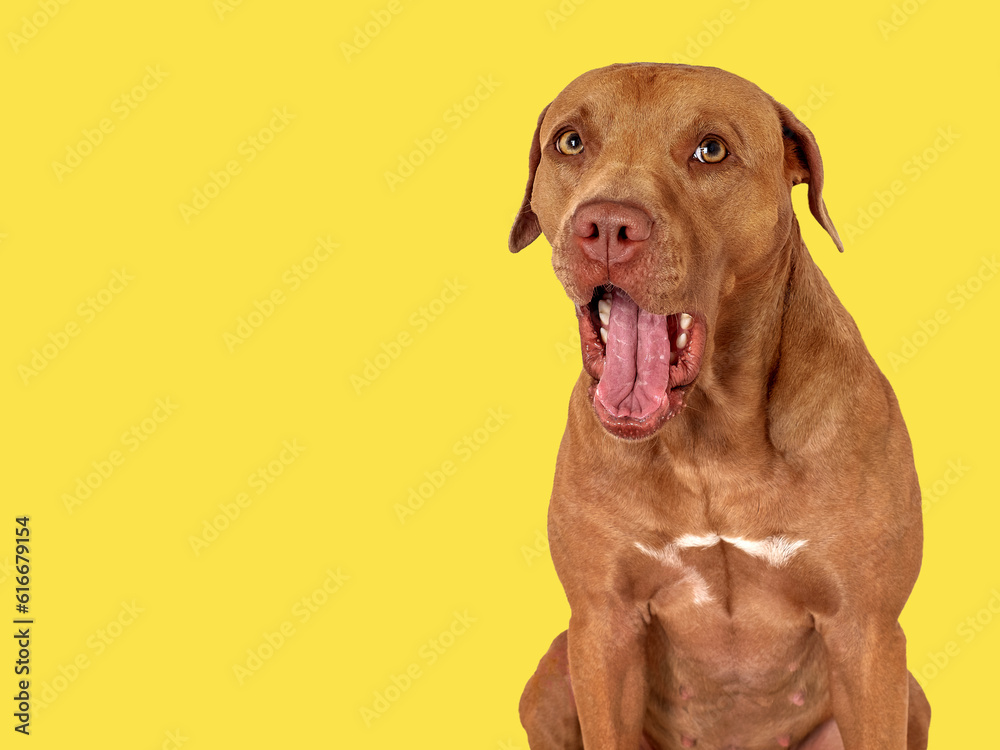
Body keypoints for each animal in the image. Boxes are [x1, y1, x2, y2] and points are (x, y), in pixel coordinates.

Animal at [512, 64, 932, 750]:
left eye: (711, 150)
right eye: (570, 142)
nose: (606, 225)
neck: (711, 438)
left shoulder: (867, 632)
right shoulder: (602, 625)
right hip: (550, 676)